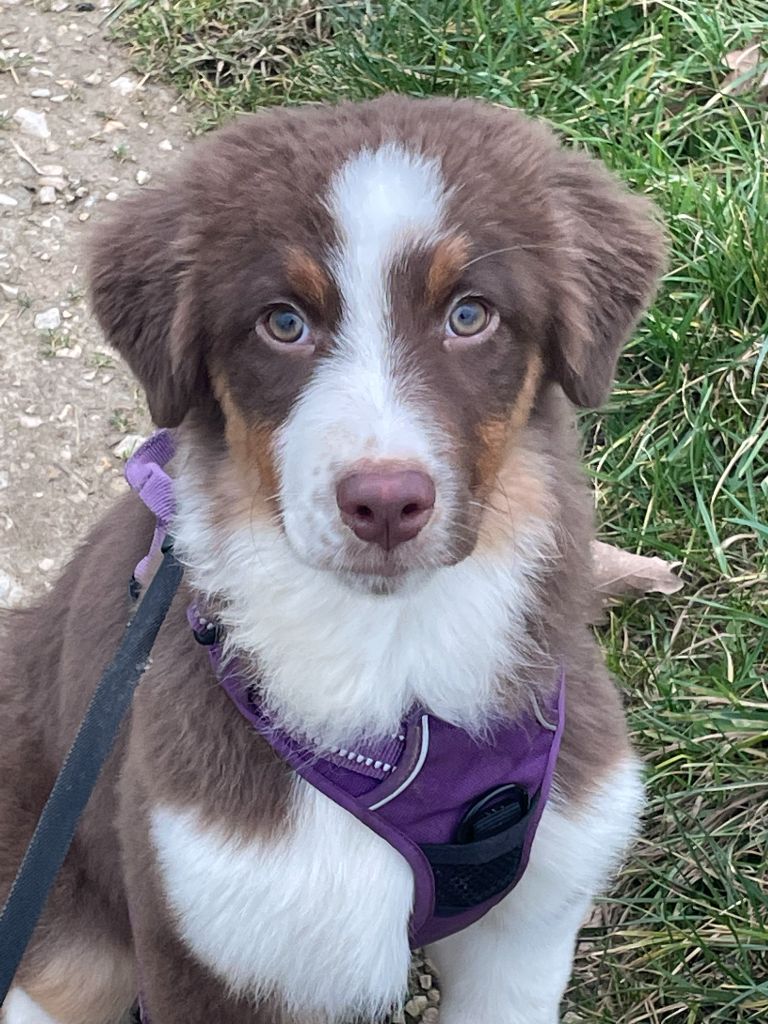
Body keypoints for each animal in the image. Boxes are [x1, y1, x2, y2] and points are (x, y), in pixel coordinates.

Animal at [0, 97, 667, 1024]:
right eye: (284, 323)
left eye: (471, 315)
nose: (385, 501)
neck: (393, 657)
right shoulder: (211, 936)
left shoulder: (531, 920)